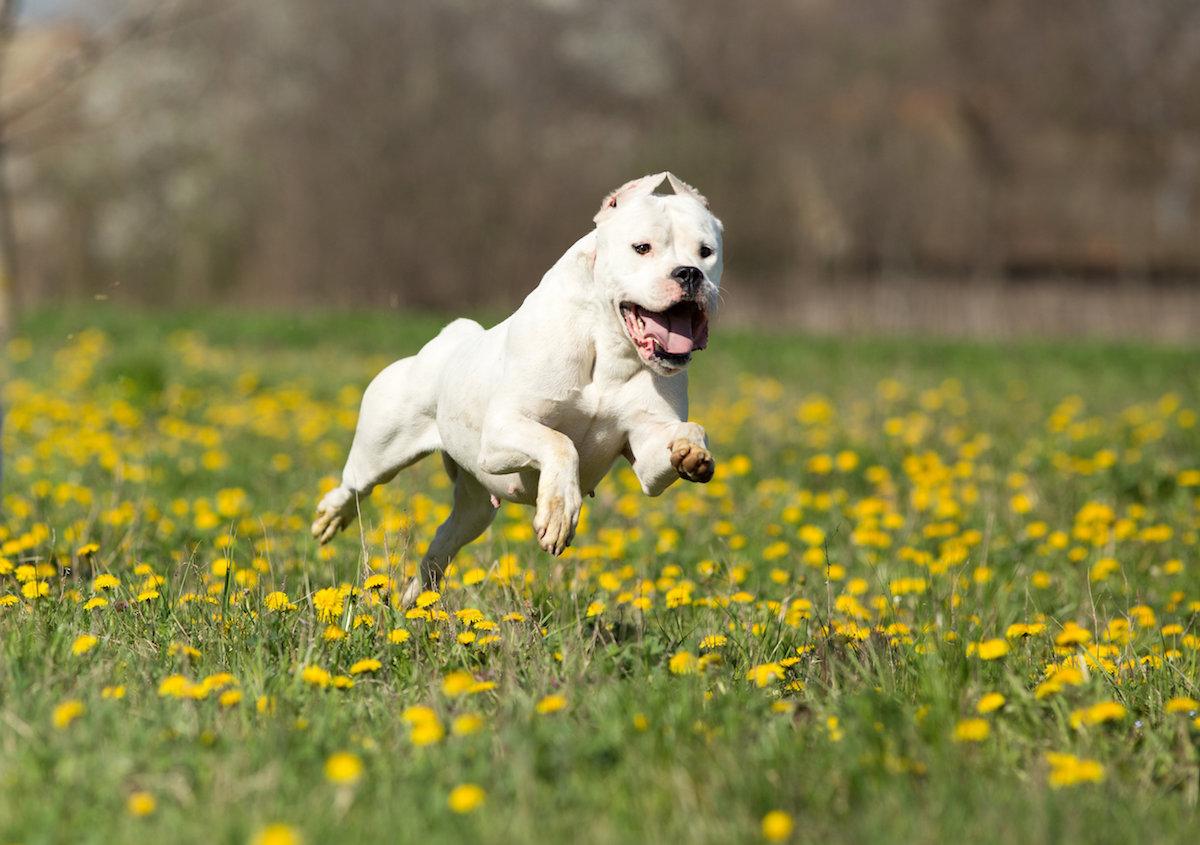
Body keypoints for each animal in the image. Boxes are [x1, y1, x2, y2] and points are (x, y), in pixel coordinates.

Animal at [312, 172, 720, 607]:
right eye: (642, 247)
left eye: (706, 252)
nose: (689, 273)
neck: (609, 345)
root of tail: (445, 341)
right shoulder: (501, 433)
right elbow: (561, 443)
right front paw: (559, 512)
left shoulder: (646, 457)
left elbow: (684, 434)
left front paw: (692, 452)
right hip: (381, 452)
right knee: (355, 486)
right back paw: (332, 518)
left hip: (475, 508)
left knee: (442, 542)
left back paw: (416, 602)